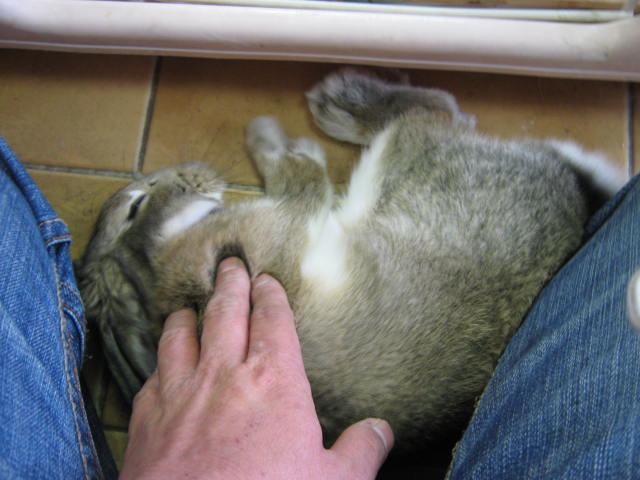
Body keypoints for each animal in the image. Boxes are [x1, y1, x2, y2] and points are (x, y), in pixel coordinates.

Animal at [76, 68, 624, 453]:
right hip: (408, 157)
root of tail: (573, 193)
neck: (154, 266)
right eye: (136, 207)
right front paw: (271, 136)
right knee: (433, 114)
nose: (195, 172)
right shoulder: (284, 223)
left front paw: (270, 138)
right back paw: (337, 99)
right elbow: (298, 173)